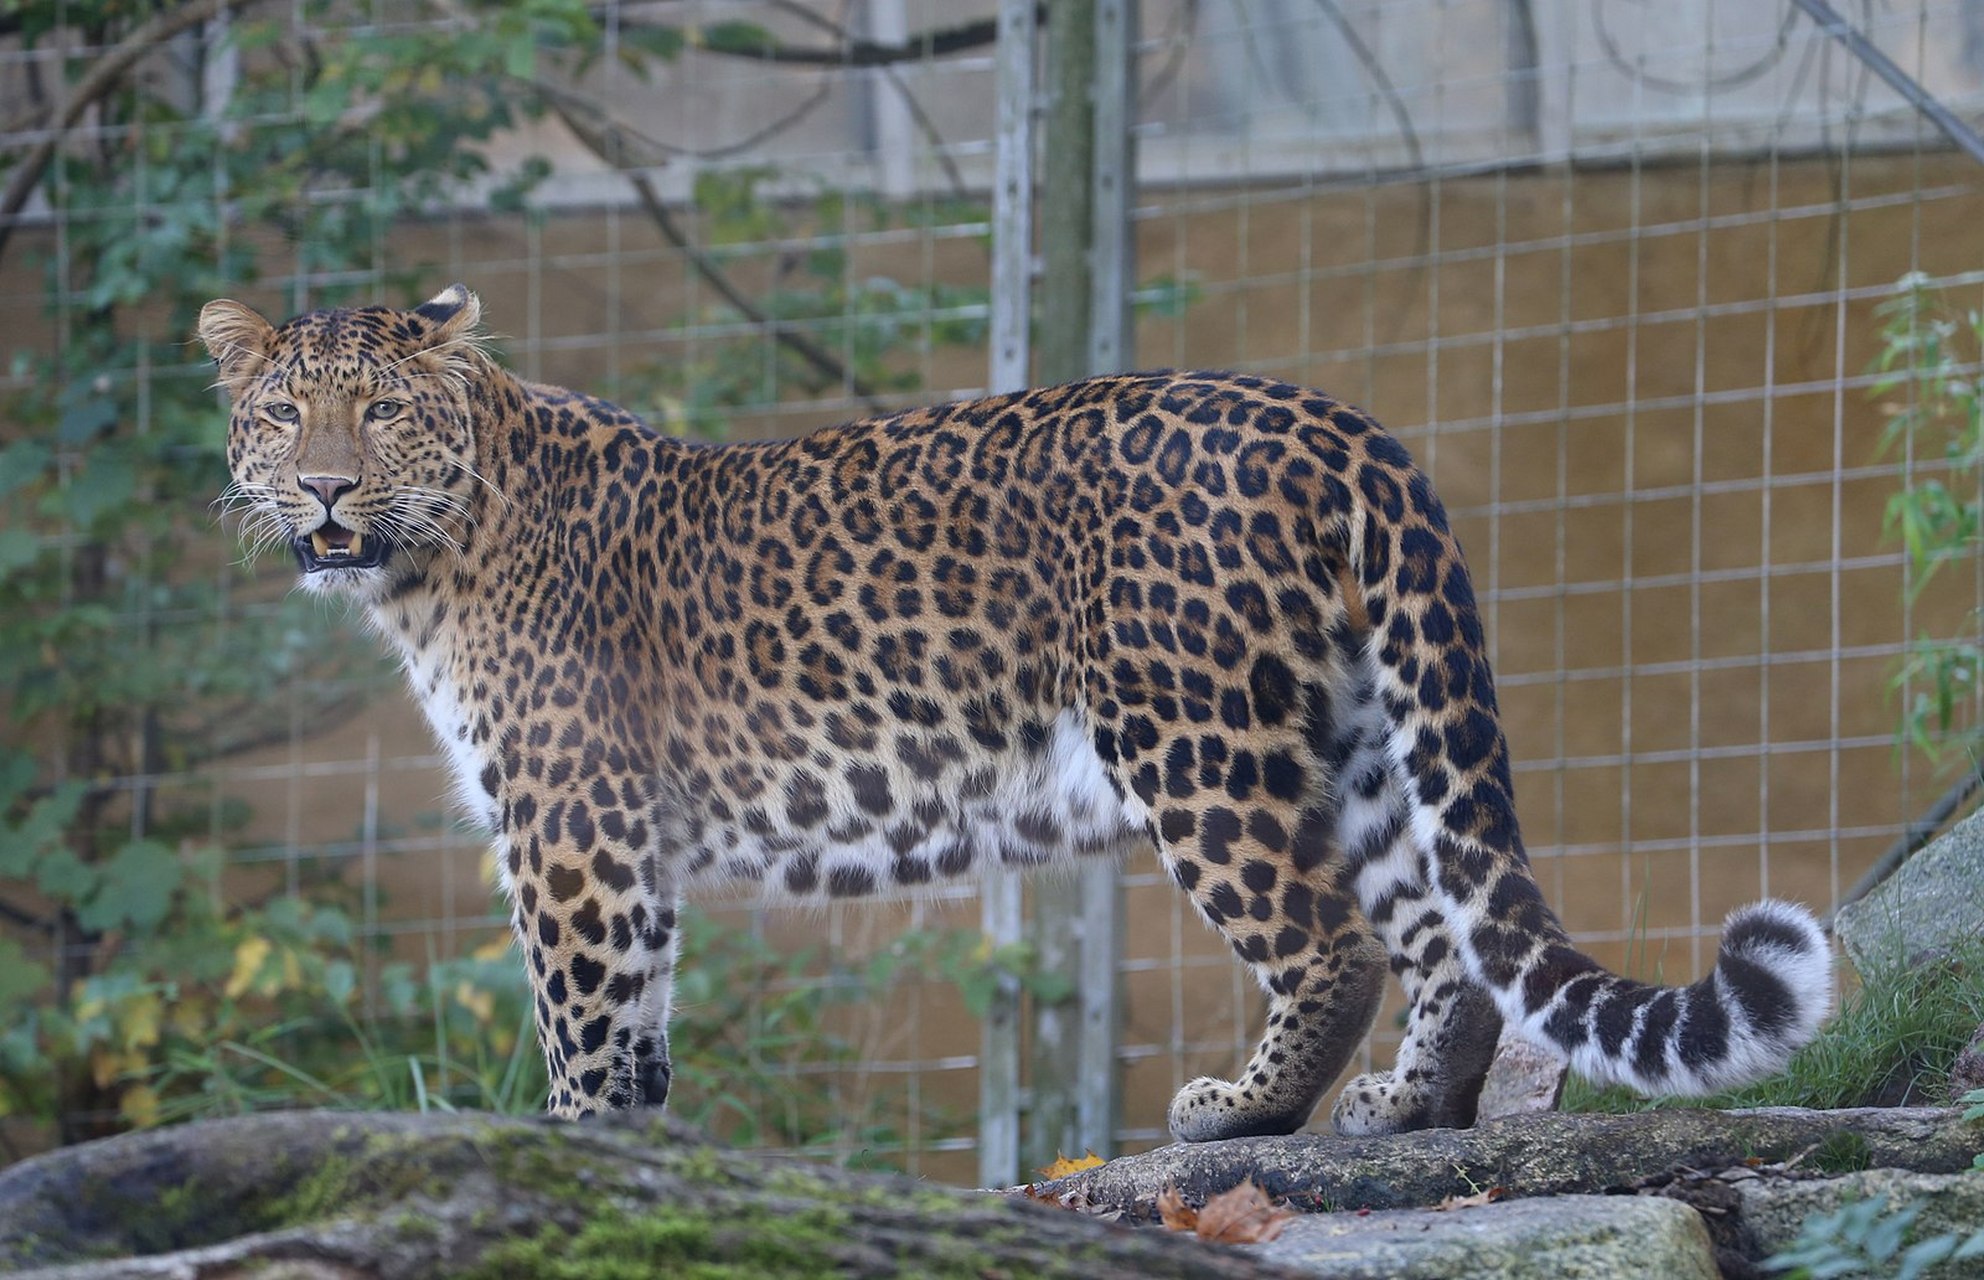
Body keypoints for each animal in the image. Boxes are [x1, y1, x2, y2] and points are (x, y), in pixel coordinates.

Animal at [197, 281, 1825, 1135]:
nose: (325, 489)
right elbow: (642, 1024)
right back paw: (1403, 1113)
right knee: (1444, 938)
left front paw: (579, 1152)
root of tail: (1341, 423)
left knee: (1333, 942)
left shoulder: (573, 833)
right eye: (283, 412)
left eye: (381, 410)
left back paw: (1242, 1110)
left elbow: (582, 1026)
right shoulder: (627, 848)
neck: (430, 561)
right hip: (1364, 735)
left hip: (1194, 736)